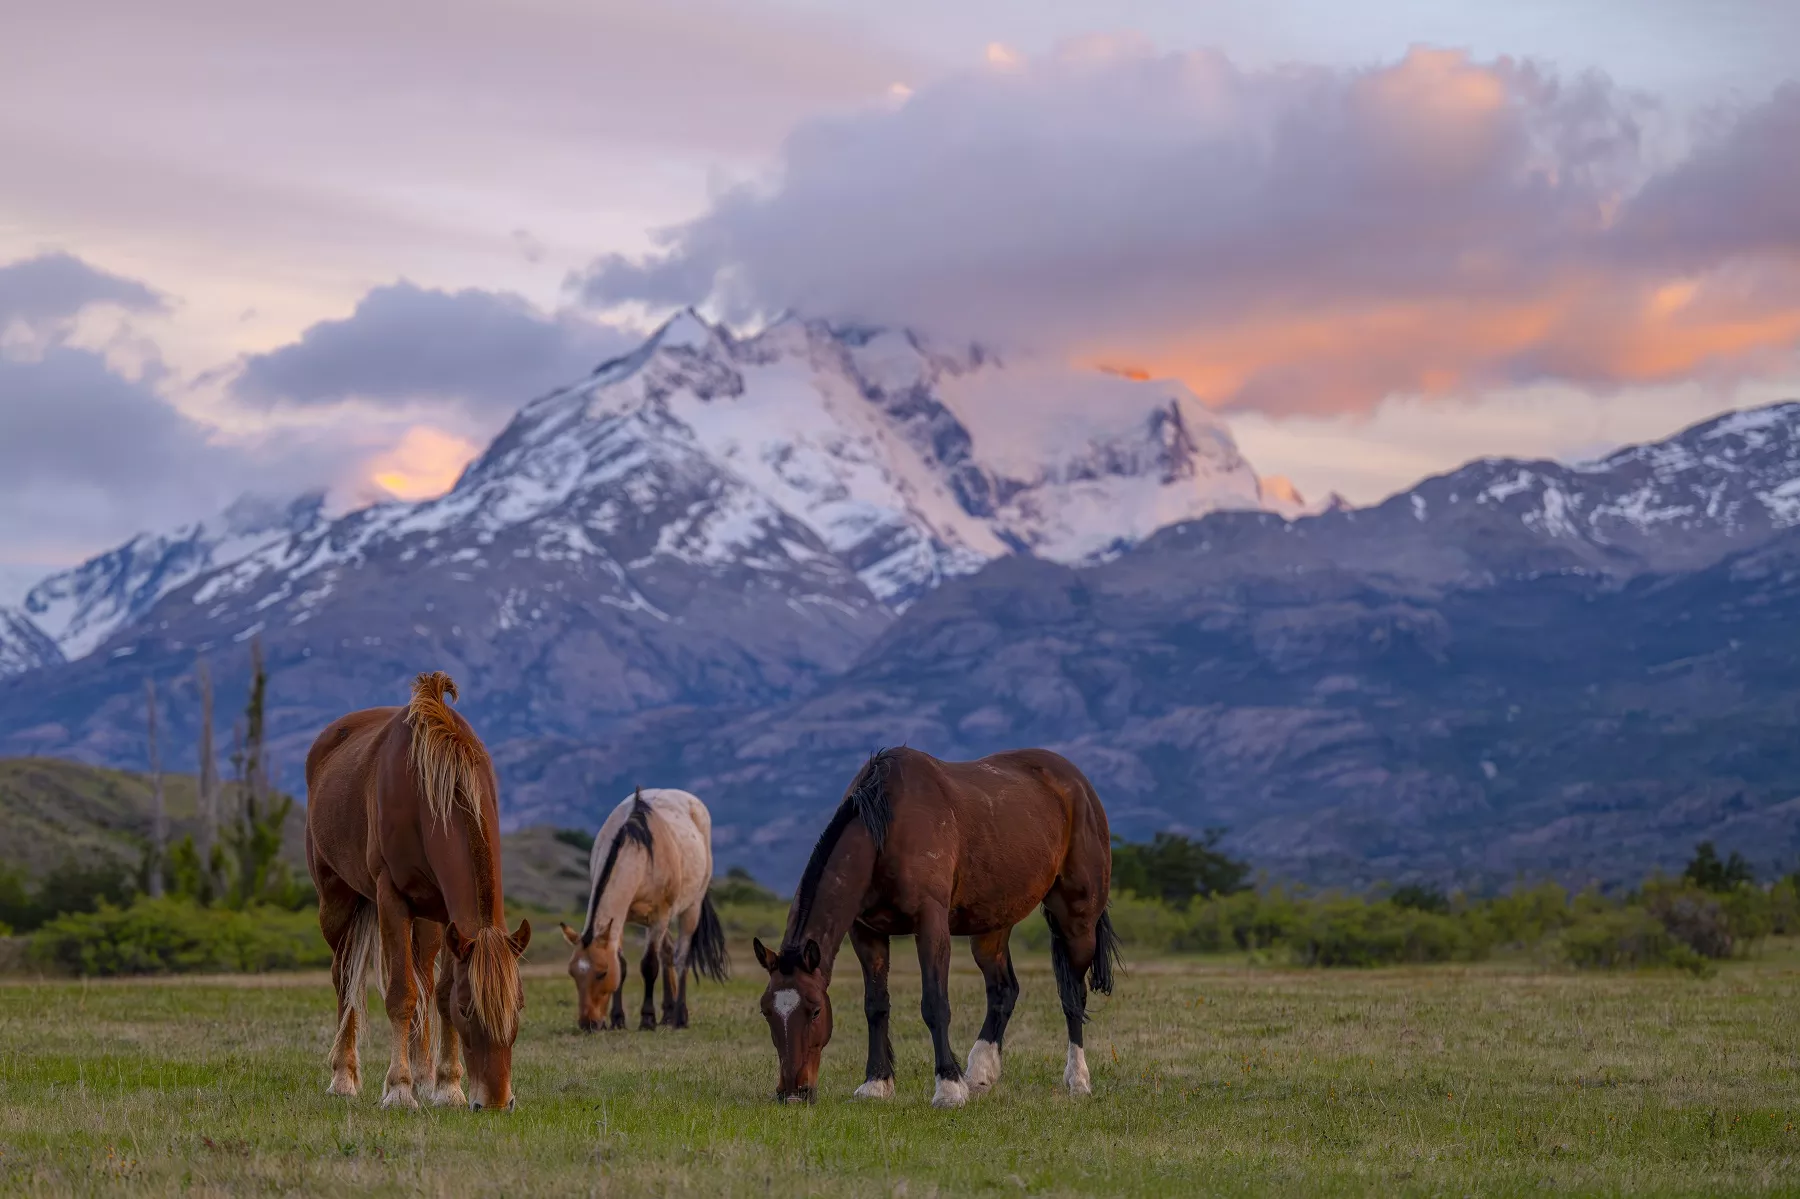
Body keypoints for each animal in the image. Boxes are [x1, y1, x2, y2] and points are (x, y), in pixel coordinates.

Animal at [304, 671, 531, 1112]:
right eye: (468, 1009)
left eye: (518, 1007)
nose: (497, 1102)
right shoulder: (391, 898)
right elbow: (402, 995)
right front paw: (398, 1089)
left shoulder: (448, 917)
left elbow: (436, 995)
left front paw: (446, 1086)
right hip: (336, 902)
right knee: (345, 979)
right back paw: (344, 1077)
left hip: (426, 920)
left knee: (423, 975)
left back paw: (425, 1075)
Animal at [558, 787, 728, 1032]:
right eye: (573, 973)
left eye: (602, 973)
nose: (588, 1024)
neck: (639, 852)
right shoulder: (620, 919)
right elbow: (623, 965)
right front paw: (618, 1019)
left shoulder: (660, 916)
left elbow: (649, 965)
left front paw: (647, 1019)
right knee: (667, 952)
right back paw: (667, 1014)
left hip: (690, 909)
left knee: (681, 958)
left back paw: (679, 1017)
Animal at [752, 746, 1121, 1107]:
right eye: (766, 1011)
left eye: (815, 1011)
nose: (793, 1093)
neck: (886, 827)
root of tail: (1077, 784)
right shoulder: (866, 933)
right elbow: (875, 1005)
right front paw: (876, 1083)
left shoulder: (930, 924)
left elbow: (935, 1004)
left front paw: (948, 1088)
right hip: (991, 925)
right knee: (1004, 991)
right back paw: (979, 1074)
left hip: (1077, 921)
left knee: (1073, 996)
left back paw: (1078, 1081)